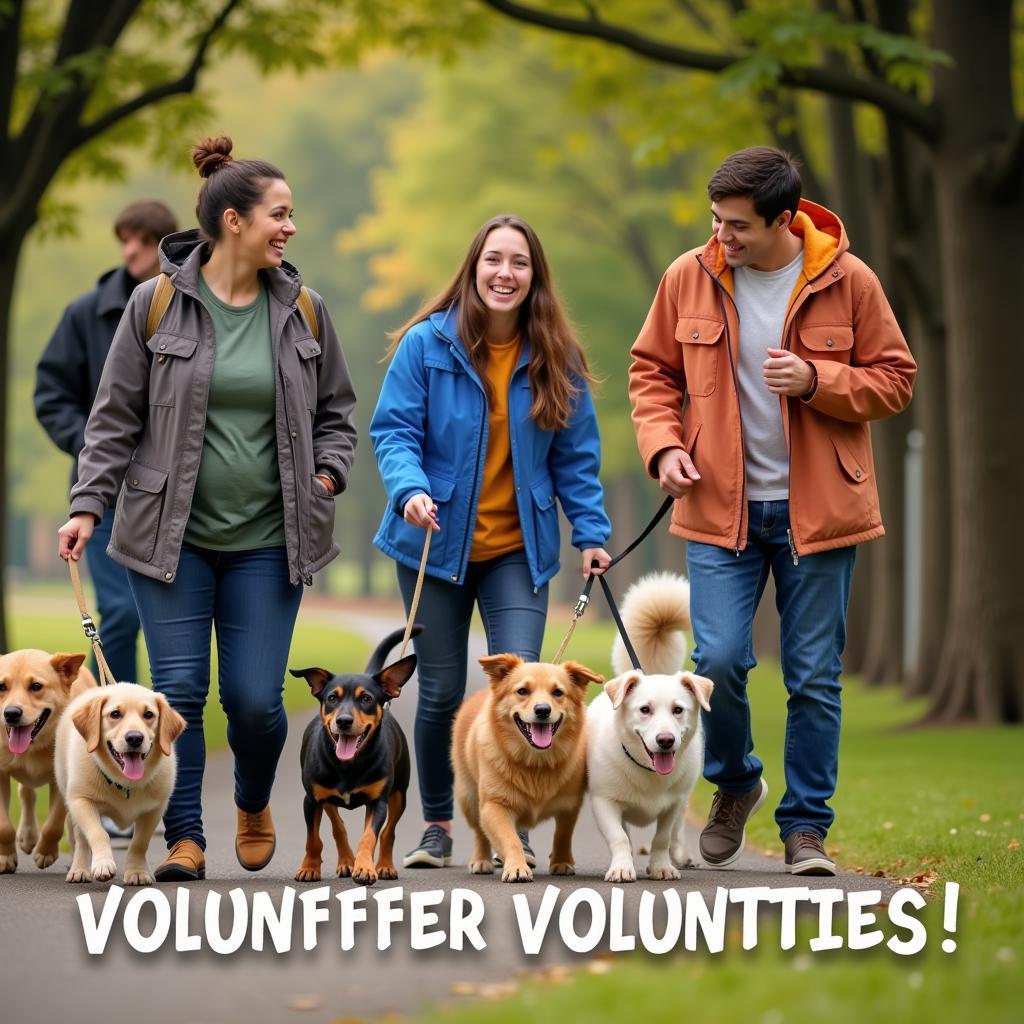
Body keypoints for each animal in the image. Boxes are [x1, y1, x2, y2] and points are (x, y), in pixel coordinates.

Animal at [1, 651, 96, 876]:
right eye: (1, 687)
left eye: (36, 686)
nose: (11, 713)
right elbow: (4, 826)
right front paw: (6, 857)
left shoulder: (61, 778)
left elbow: (54, 825)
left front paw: (45, 852)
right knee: (26, 793)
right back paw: (27, 836)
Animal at [55, 684, 186, 884]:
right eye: (115, 714)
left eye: (148, 714)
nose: (134, 738)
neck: (125, 783)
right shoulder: (82, 801)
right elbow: (98, 833)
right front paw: (103, 864)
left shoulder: (154, 809)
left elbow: (139, 843)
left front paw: (137, 872)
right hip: (71, 797)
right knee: (81, 838)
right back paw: (79, 869)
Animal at [288, 626, 415, 884]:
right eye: (331, 698)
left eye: (366, 698)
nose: (344, 721)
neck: (348, 766)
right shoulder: (312, 799)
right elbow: (313, 839)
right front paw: (309, 867)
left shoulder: (378, 802)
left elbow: (369, 837)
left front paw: (365, 867)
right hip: (325, 796)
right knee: (338, 826)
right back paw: (346, 861)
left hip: (399, 794)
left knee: (388, 832)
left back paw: (384, 865)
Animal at [452, 655, 602, 880]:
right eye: (522, 691)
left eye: (558, 692)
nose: (543, 710)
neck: (535, 762)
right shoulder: (494, 806)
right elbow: (510, 839)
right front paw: (516, 866)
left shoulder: (570, 805)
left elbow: (562, 835)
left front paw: (561, 861)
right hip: (469, 798)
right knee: (480, 831)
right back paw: (481, 859)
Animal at [585, 573, 712, 884]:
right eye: (645, 710)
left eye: (678, 709)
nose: (665, 740)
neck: (649, 772)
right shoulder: (605, 802)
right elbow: (619, 837)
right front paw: (622, 867)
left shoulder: (673, 805)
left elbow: (662, 838)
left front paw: (661, 866)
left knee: (677, 832)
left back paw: (681, 856)